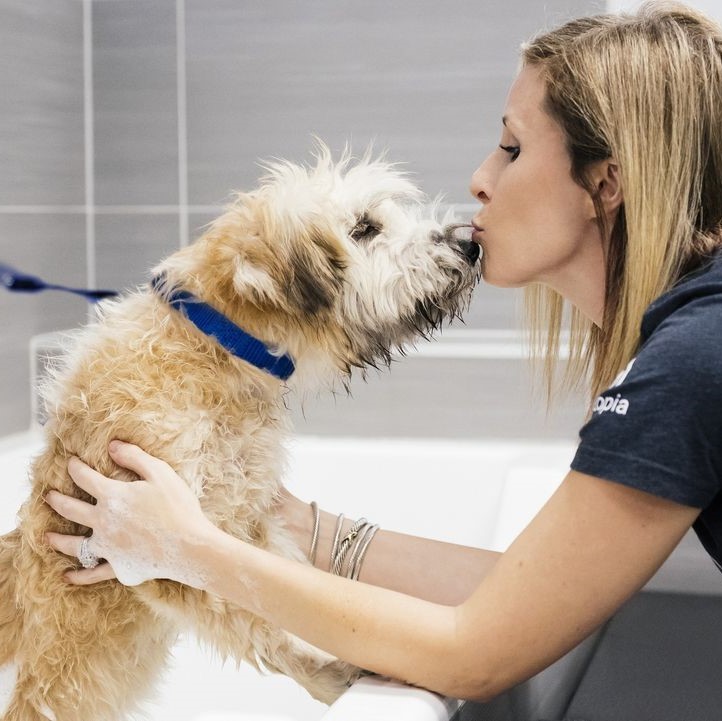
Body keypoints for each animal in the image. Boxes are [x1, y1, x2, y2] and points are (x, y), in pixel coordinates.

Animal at [0, 148, 478, 720]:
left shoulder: (247, 522)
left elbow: (286, 588)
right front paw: (332, 674)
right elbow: (255, 623)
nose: (471, 243)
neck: (211, 352)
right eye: (364, 228)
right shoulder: (166, 556)